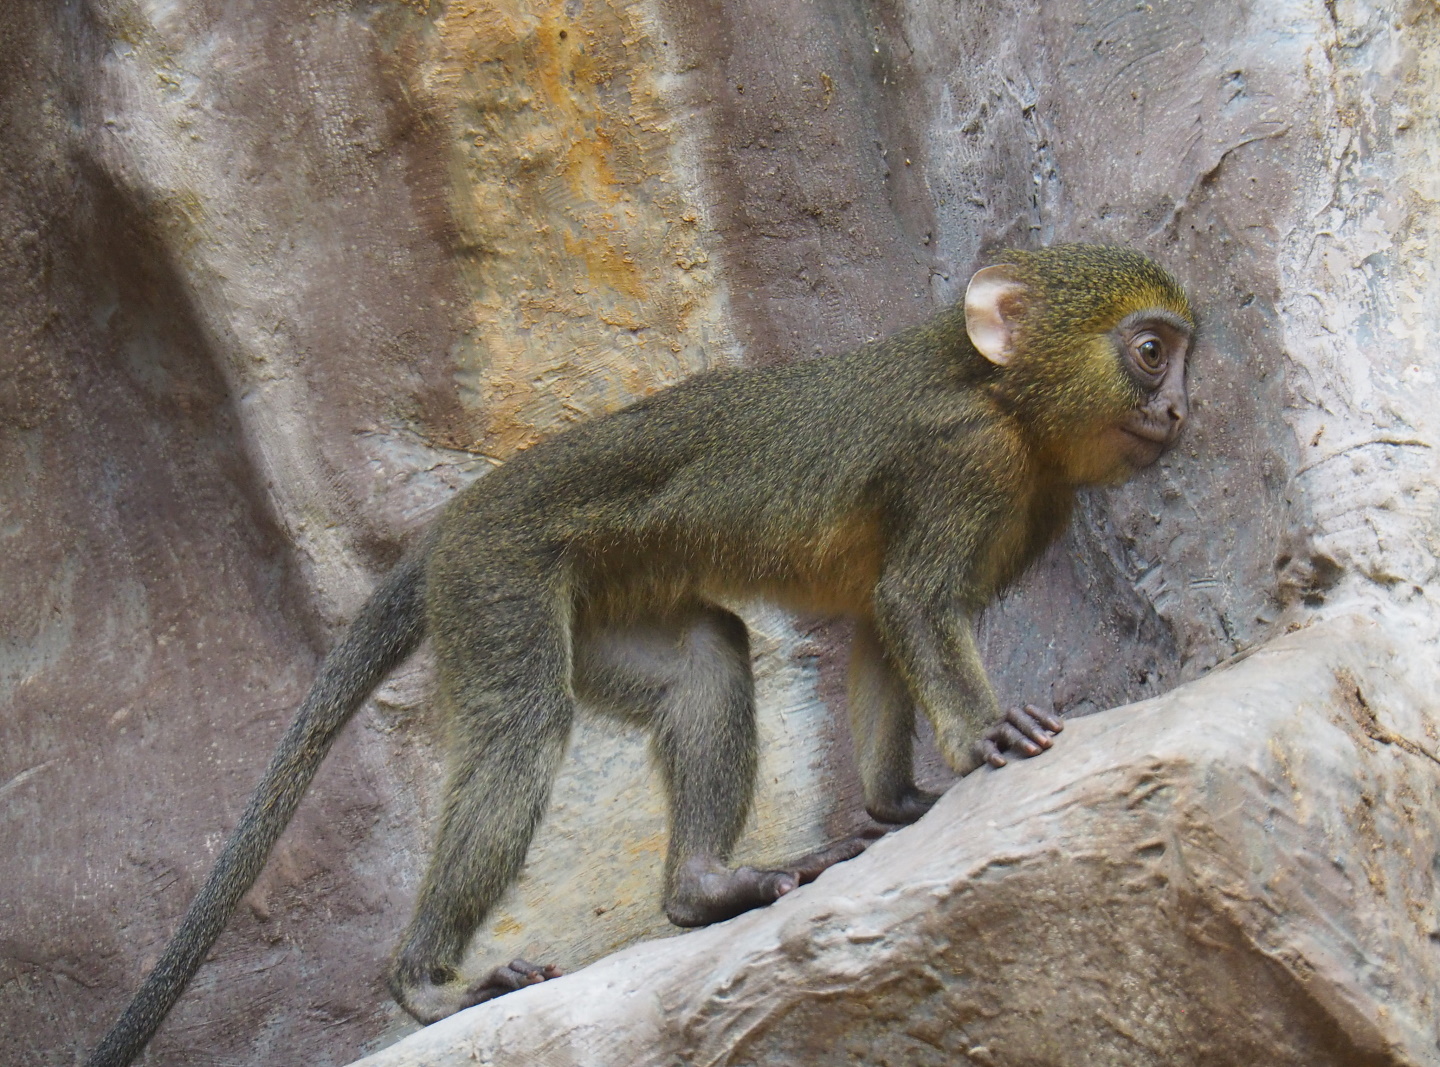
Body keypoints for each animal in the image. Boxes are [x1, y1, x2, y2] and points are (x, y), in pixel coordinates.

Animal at [85, 243, 1193, 1067]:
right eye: (1149, 349)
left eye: (1181, 356)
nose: (1179, 407)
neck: (1005, 399)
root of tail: (453, 522)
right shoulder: (962, 458)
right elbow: (913, 599)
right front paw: (989, 735)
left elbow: (884, 623)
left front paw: (900, 801)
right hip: (497, 579)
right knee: (524, 727)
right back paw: (426, 984)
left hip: (590, 599)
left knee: (706, 653)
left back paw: (703, 887)